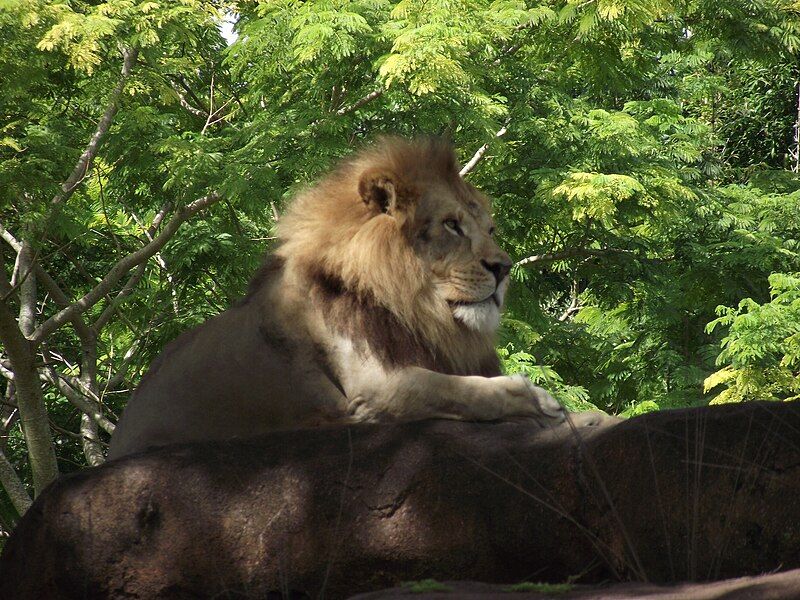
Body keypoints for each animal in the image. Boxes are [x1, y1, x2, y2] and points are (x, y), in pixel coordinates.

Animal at [109, 137, 604, 460]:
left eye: (490, 229)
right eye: (451, 225)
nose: (504, 268)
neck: (410, 307)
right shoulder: (373, 390)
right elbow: (461, 389)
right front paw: (542, 400)